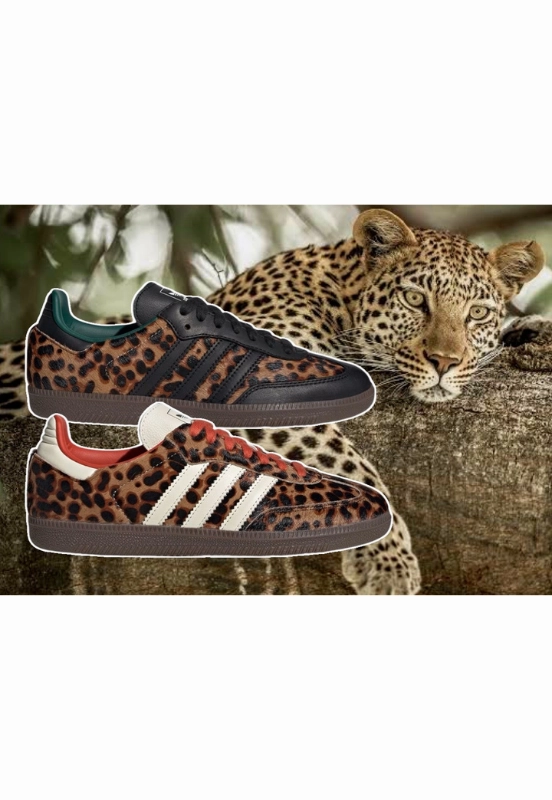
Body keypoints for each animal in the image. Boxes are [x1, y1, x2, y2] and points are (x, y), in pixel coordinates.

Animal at [1, 208, 548, 594]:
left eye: (477, 313)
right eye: (416, 300)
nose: (444, 361)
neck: (340, 293)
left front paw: (529, 331)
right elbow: (347, 461)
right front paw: (386, 557)